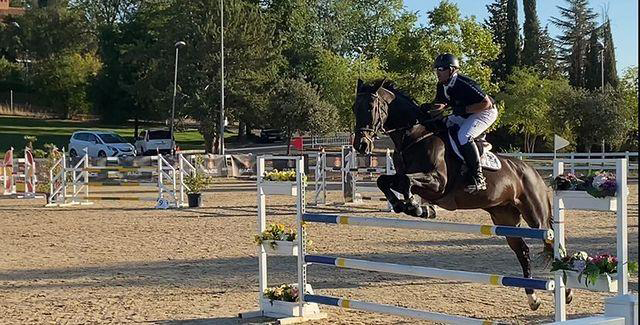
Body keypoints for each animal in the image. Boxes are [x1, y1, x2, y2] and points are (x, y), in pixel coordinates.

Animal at [352, 77, 572, 310]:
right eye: (354, 108)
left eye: (371, 107)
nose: (361, 145)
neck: (415, 136)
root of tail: (533, 171)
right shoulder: (407, 177)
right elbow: (385, 180)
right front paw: (403, 205)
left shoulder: (438, 183)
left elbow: (406, 182)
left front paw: (415, 206)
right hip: (504, 217)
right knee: (522, 250)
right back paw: (533, 298)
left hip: (536, 217)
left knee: (552, 244)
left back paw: (566, 293)